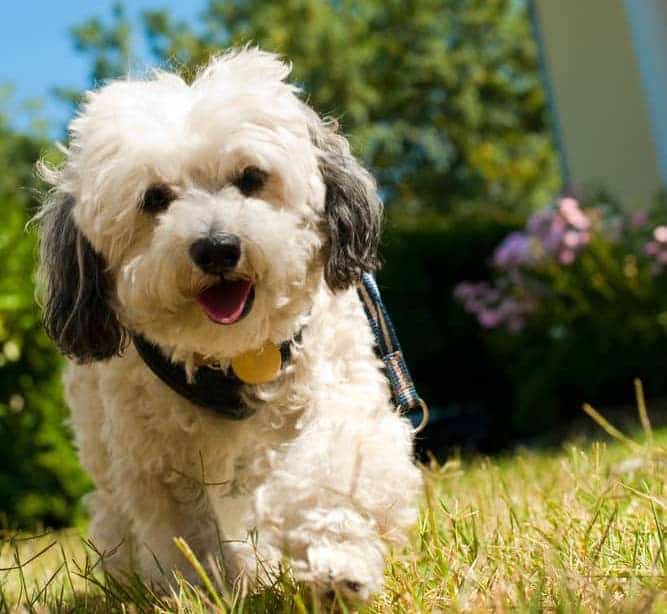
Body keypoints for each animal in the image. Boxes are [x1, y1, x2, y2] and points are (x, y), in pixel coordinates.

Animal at [35, 49, 422, 608]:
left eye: (251, 177)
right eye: (154, 198)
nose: (216, 248)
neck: (237, 355)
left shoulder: (336, 391)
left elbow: (333, 467)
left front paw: (336, 564)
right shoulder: (156, 460)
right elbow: (185, 535)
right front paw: (205, 592)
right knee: (114, 508)